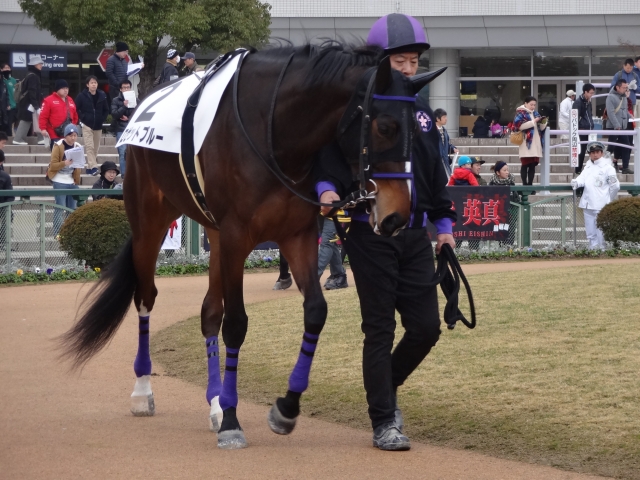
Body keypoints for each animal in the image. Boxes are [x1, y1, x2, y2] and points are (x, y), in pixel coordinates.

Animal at [60, 43, 443, 449]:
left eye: (418, 131)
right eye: (386, 127)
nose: (398, 215)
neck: (274, 132)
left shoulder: (296, 235)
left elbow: (315, 312)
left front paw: (284, 409)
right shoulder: (235, 237)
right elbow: (236, 324)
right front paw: (232, 419)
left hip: (212, 233)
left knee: (209, 312)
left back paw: (213, 404)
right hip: (151, 219)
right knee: (146, 296)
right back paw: (144, 391)